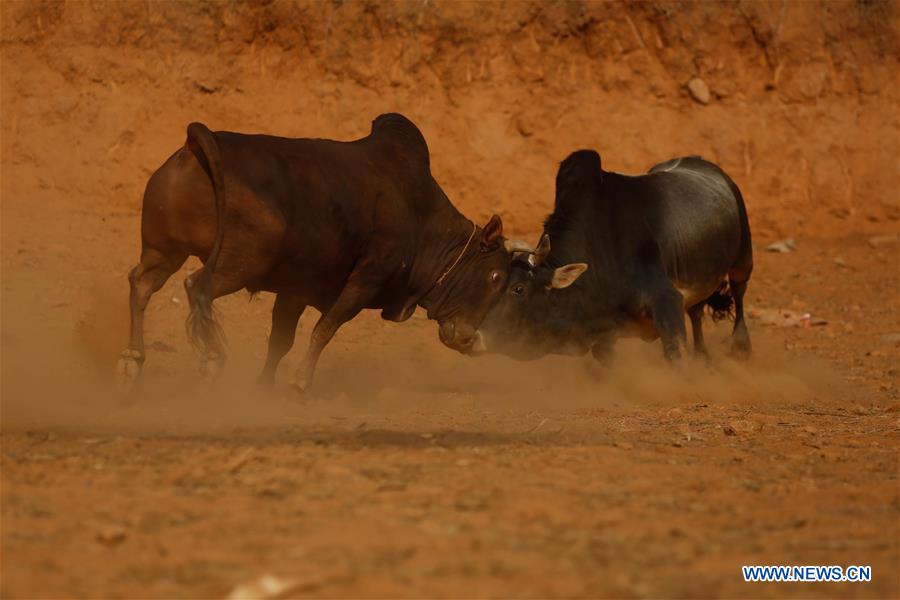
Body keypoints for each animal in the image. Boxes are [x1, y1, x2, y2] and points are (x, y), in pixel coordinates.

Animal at [117, 113, 511, 393]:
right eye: (496, 276)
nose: (468, 338)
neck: (420, 213)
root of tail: (198, 142)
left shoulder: (295, 291)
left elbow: (280, 341)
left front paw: (264, 386)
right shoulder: (366, 279)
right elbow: (325, 329)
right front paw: (299, 383)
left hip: (165, 251)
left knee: (141, 283)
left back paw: (134, 360)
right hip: (237, 264)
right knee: (197, 287)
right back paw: (211, 359)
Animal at [474, 151, 753, 363]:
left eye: (518, 289)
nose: (474, 338)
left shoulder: (666, 299)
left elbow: (676, 354)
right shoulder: (606, 332)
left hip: (743, 260)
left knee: (738, 295)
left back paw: (741, 348)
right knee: (696, 312)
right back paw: (704, 357)